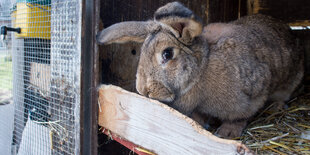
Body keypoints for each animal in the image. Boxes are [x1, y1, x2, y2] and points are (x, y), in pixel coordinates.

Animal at [95, 1, 304, 138]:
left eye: (167, 54)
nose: (144, 90)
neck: (201, 70)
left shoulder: (253, 94)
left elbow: (239, 117)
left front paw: (227, 133)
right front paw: (202, 124)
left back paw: (276, 106)